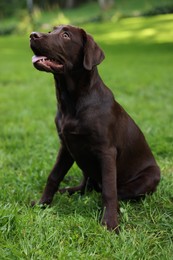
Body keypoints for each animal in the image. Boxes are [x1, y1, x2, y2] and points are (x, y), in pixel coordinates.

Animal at [30, 25, 161, 233]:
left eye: (65, 35)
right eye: (51, 31)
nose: (32, 35)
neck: (71, 101)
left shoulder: (106, 151)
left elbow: (109, 190)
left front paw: (110, 223)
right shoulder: (66, 146)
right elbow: (54, 176)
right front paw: (43, 204)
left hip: (150, 176)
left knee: (109, 191)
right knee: (87, 185)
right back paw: (69, 191)